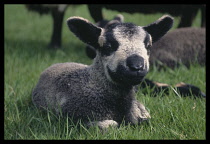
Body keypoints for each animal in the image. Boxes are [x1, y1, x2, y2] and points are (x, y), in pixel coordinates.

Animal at [32, 15, 174, 129]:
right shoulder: (76, 116)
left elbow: (144, 120)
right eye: (108, 47)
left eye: (148, 46)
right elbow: (111, 125)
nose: (136, 66)